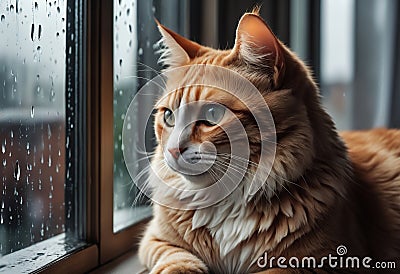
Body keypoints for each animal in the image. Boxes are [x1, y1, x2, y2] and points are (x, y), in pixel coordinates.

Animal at [138, 9, 400, 274]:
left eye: (212, 114)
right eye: (169, 116)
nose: (172, 150)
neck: (229, 202)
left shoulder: (324, 261)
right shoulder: (156, 240)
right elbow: (177, 258)